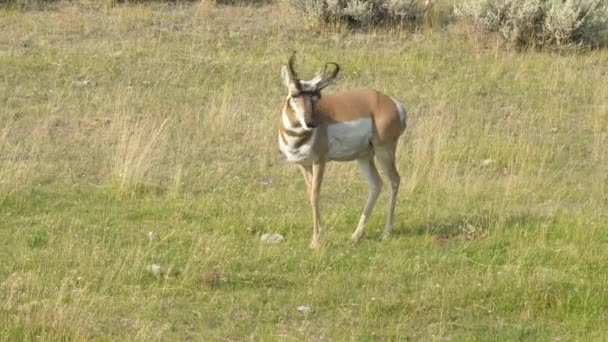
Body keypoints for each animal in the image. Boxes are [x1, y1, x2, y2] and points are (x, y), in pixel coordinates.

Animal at [280, 54, 408, 248]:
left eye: (317, 96)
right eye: (294, 94)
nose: (311, 123)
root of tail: (391, 102)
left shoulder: (320, 162)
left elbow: (315, 195)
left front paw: (316, 241)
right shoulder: (303, 165)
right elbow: (310, 194)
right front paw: (318, 236)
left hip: (384, 151)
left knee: (394, 180)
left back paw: (386, 232)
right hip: (364, 156)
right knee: (376, 183)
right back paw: (356, 235)